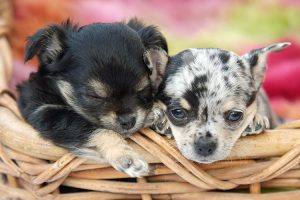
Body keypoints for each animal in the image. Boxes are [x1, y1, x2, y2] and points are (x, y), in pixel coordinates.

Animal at [17, 18, 169, 177]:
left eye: (143, 90)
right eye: (95, 96)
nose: (128, 121)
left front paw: (158, 114)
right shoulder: (45, 112)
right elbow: (98, 130)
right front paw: (126, 156)